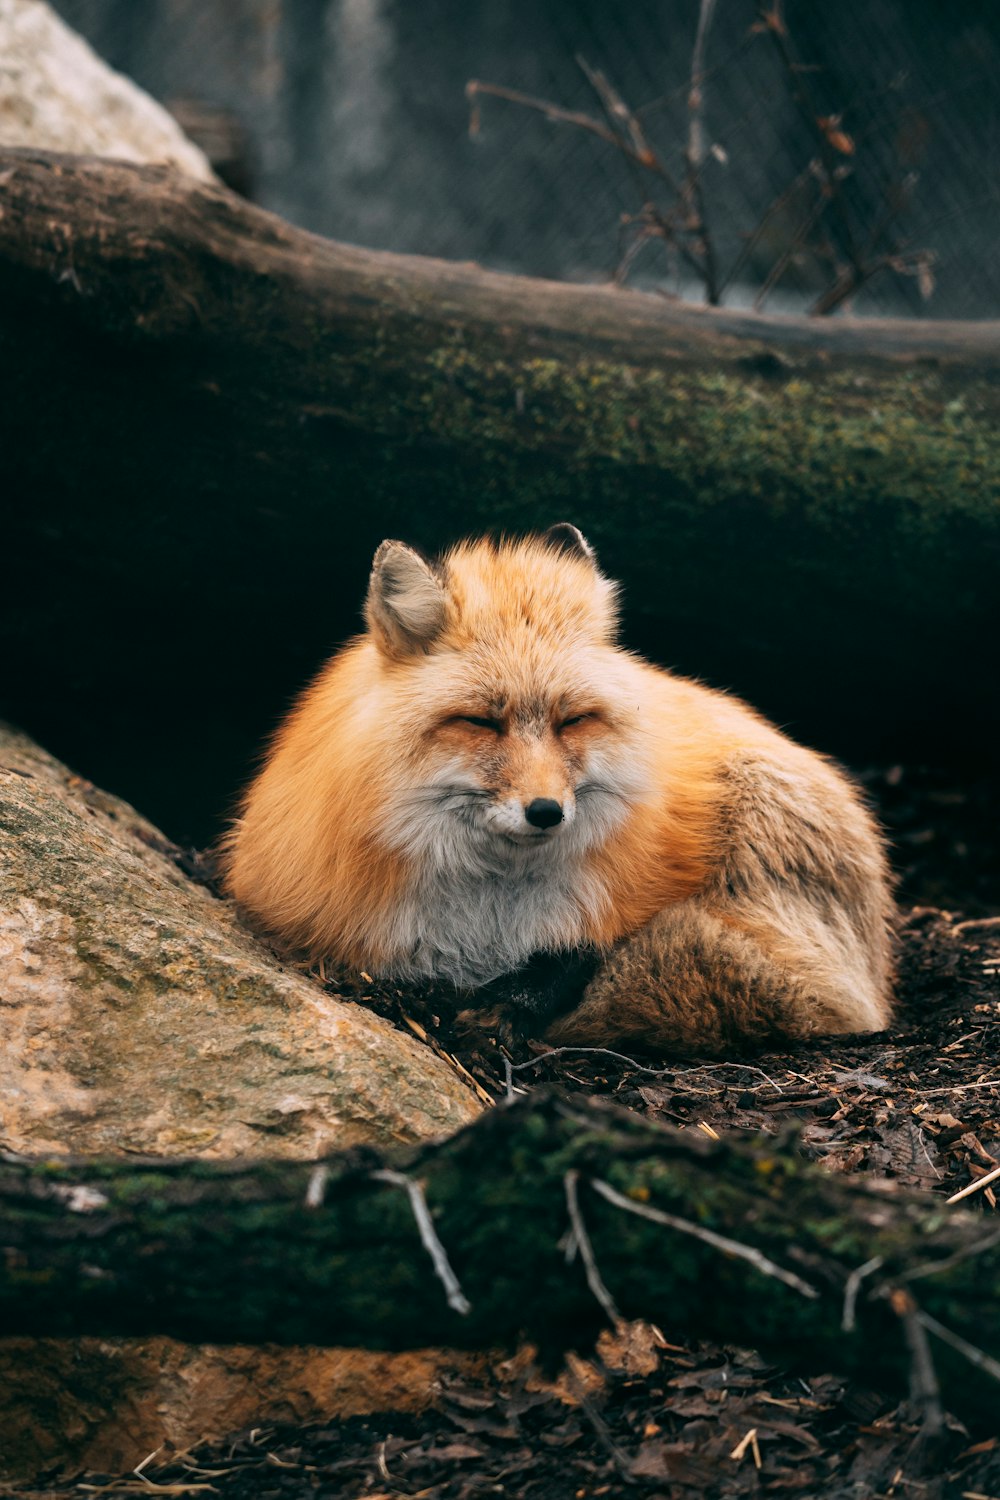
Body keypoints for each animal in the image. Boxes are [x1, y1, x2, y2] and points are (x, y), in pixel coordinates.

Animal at [223, 528, 893, 1056]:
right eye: (480, 722)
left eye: (572, 720)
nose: (546, 812)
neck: (488, 919)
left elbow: (574, 960)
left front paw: (507, 1009)